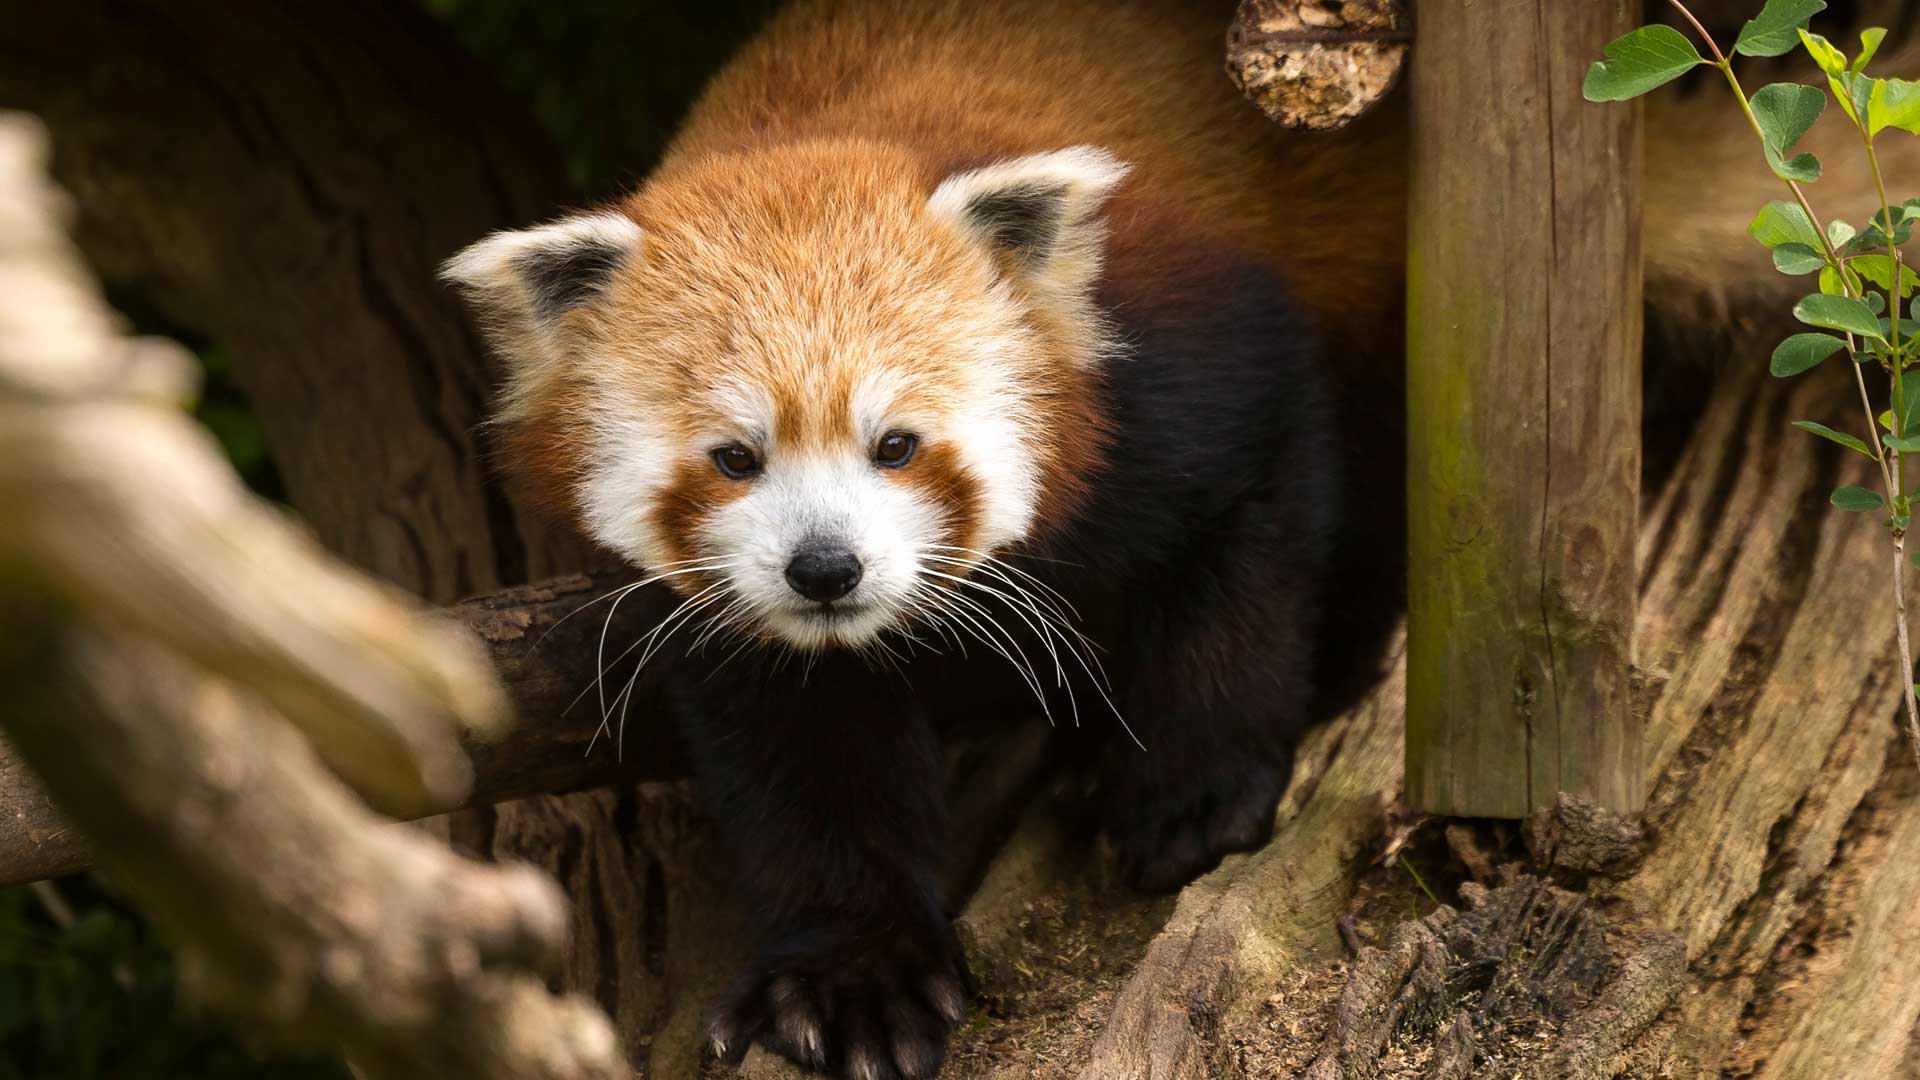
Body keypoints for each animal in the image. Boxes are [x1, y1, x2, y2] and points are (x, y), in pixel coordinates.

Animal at [445, 2, 1904, 1076]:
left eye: (899, 443)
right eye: (736, 458)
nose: (826, 569)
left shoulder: (1190, 358)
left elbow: (1244, 544)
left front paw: (1192, 793)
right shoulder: (724, 627)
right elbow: (804, 756)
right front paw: (850, 977)